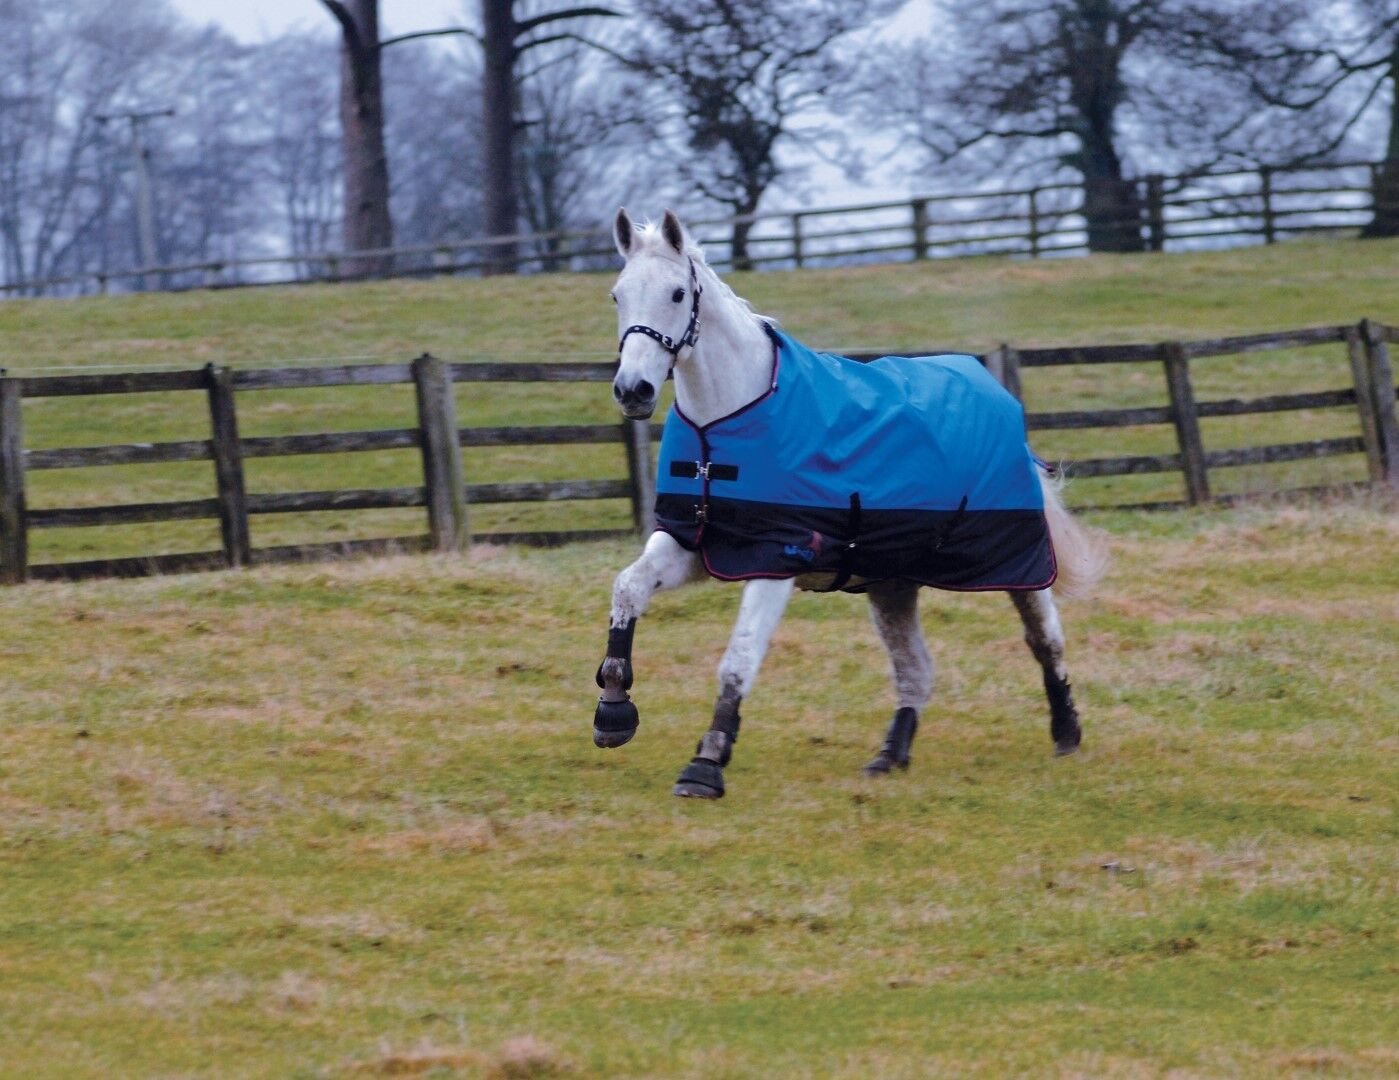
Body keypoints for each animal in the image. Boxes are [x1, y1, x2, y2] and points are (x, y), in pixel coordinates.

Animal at [592, 208, 1108, 799]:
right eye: (617, 295)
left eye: (678, 293)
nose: (633, 390)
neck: (723, 424)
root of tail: (997, 394)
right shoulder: (693, 543)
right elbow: (628, 588)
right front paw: (613, 711)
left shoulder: (777, 560)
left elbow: (738, 659)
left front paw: (705, 765)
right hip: (892, 581)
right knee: (916, 668)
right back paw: (890, 756)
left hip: (1016, 562)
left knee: (1045, 639)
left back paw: (1066, 732)